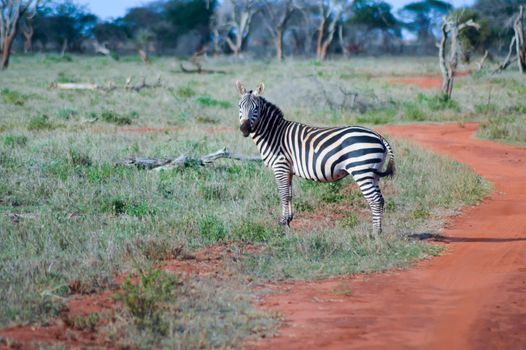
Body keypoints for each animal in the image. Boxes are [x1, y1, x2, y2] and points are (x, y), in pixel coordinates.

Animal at [236, 81, 396, 234]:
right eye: (239, 106)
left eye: (256, 108)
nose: (244, 129)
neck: (274, 134)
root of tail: (378, 136)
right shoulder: (288, 170)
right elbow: (289, 194)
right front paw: (288, 221)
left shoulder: (280, 166)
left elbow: (283, 194)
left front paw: (282, 224)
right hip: (373, 173)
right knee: (381, 200)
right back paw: (378, 231)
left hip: (361, 171)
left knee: (375, 200)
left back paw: (374, 234)